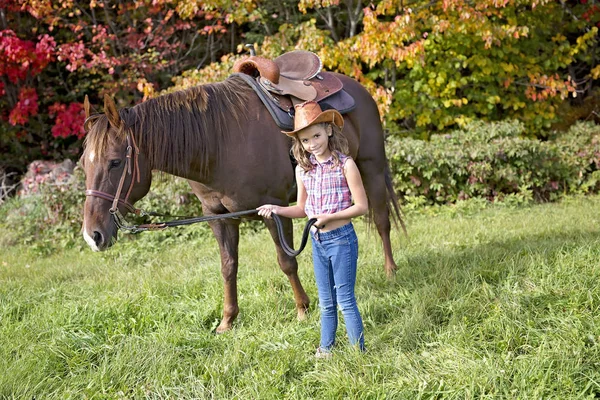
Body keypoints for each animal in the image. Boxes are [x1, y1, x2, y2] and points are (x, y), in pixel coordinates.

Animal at [78, 73, 398, 332]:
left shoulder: (274, 210)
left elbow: (287, 262)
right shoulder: (219, 217)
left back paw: (390, 272)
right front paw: (228, 320)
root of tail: (357, 87)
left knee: (382, 221)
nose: (93, 236)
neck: (218, 145)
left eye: (115, 162)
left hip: (370, 168)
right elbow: (228, 266)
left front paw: (302, 309)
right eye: (84, 164)